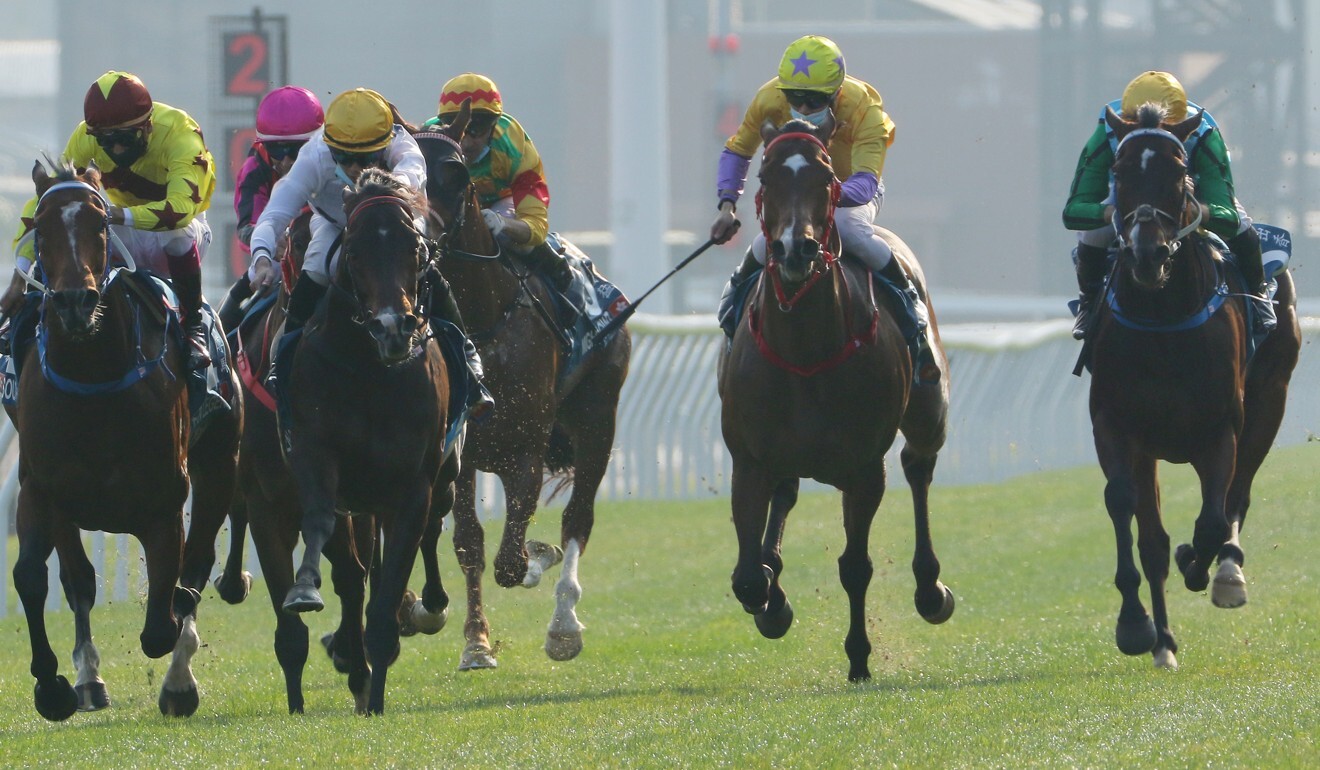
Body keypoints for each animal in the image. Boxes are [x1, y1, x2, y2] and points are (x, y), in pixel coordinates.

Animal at [9, 159, 242, 718]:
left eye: (99, 224)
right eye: (39, 228)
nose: (75, 302)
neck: (94, 379)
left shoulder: (164, 502)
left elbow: (164, 616)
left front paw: (177, 661)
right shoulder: (41, 489)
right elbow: (33, 576)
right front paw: (52, 686)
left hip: (221, 464)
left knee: (195, 567)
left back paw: (178, 681)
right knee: (79, 581)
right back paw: (89, 679)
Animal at [278, 169, 459, 718]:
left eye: (415, 250)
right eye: (354, 252)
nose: (392, 327)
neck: (370, 370)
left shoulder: (412, 487)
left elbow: (391, 583)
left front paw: (375, 698)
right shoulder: (316, 452)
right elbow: (318, 519)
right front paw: (303, 589)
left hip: (443, 477)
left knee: (432, 529)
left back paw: (428, 607)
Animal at [417, 111, 633, 670]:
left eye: (455, 174)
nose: (420, 238)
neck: (483, 323)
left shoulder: (527, 450)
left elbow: (511, 561)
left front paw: (537, 562)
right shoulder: (461, 455)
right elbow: (471, 545)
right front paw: (476, 642)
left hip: (597, 420)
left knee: (578, 519)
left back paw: (563, 624)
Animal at [718, 117, 955, 681]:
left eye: (825, 176)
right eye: (766, 175)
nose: (794, 249)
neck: (804, 350)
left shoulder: (864, 469)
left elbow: (855, 566)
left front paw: (859, 657)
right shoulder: (749, 459)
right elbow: (748, 577)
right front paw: (773, 604)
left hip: (928, 414)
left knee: (919, 467)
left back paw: (931, 589)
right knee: (784, 498)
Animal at [1092, 105, 1298, 670]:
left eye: (1179, 171)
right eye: (1119, 172)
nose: (1147, 255)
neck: (1164, 317)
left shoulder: (1220, 429)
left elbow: (1211, 520)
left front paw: (1201, 564)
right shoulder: (1117, 425)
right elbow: (1127, 509)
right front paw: (1136, 625)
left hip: (1269, 403)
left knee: (1237, 495)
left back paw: (1227, 572)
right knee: (1155, 536)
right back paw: (1162, 640)